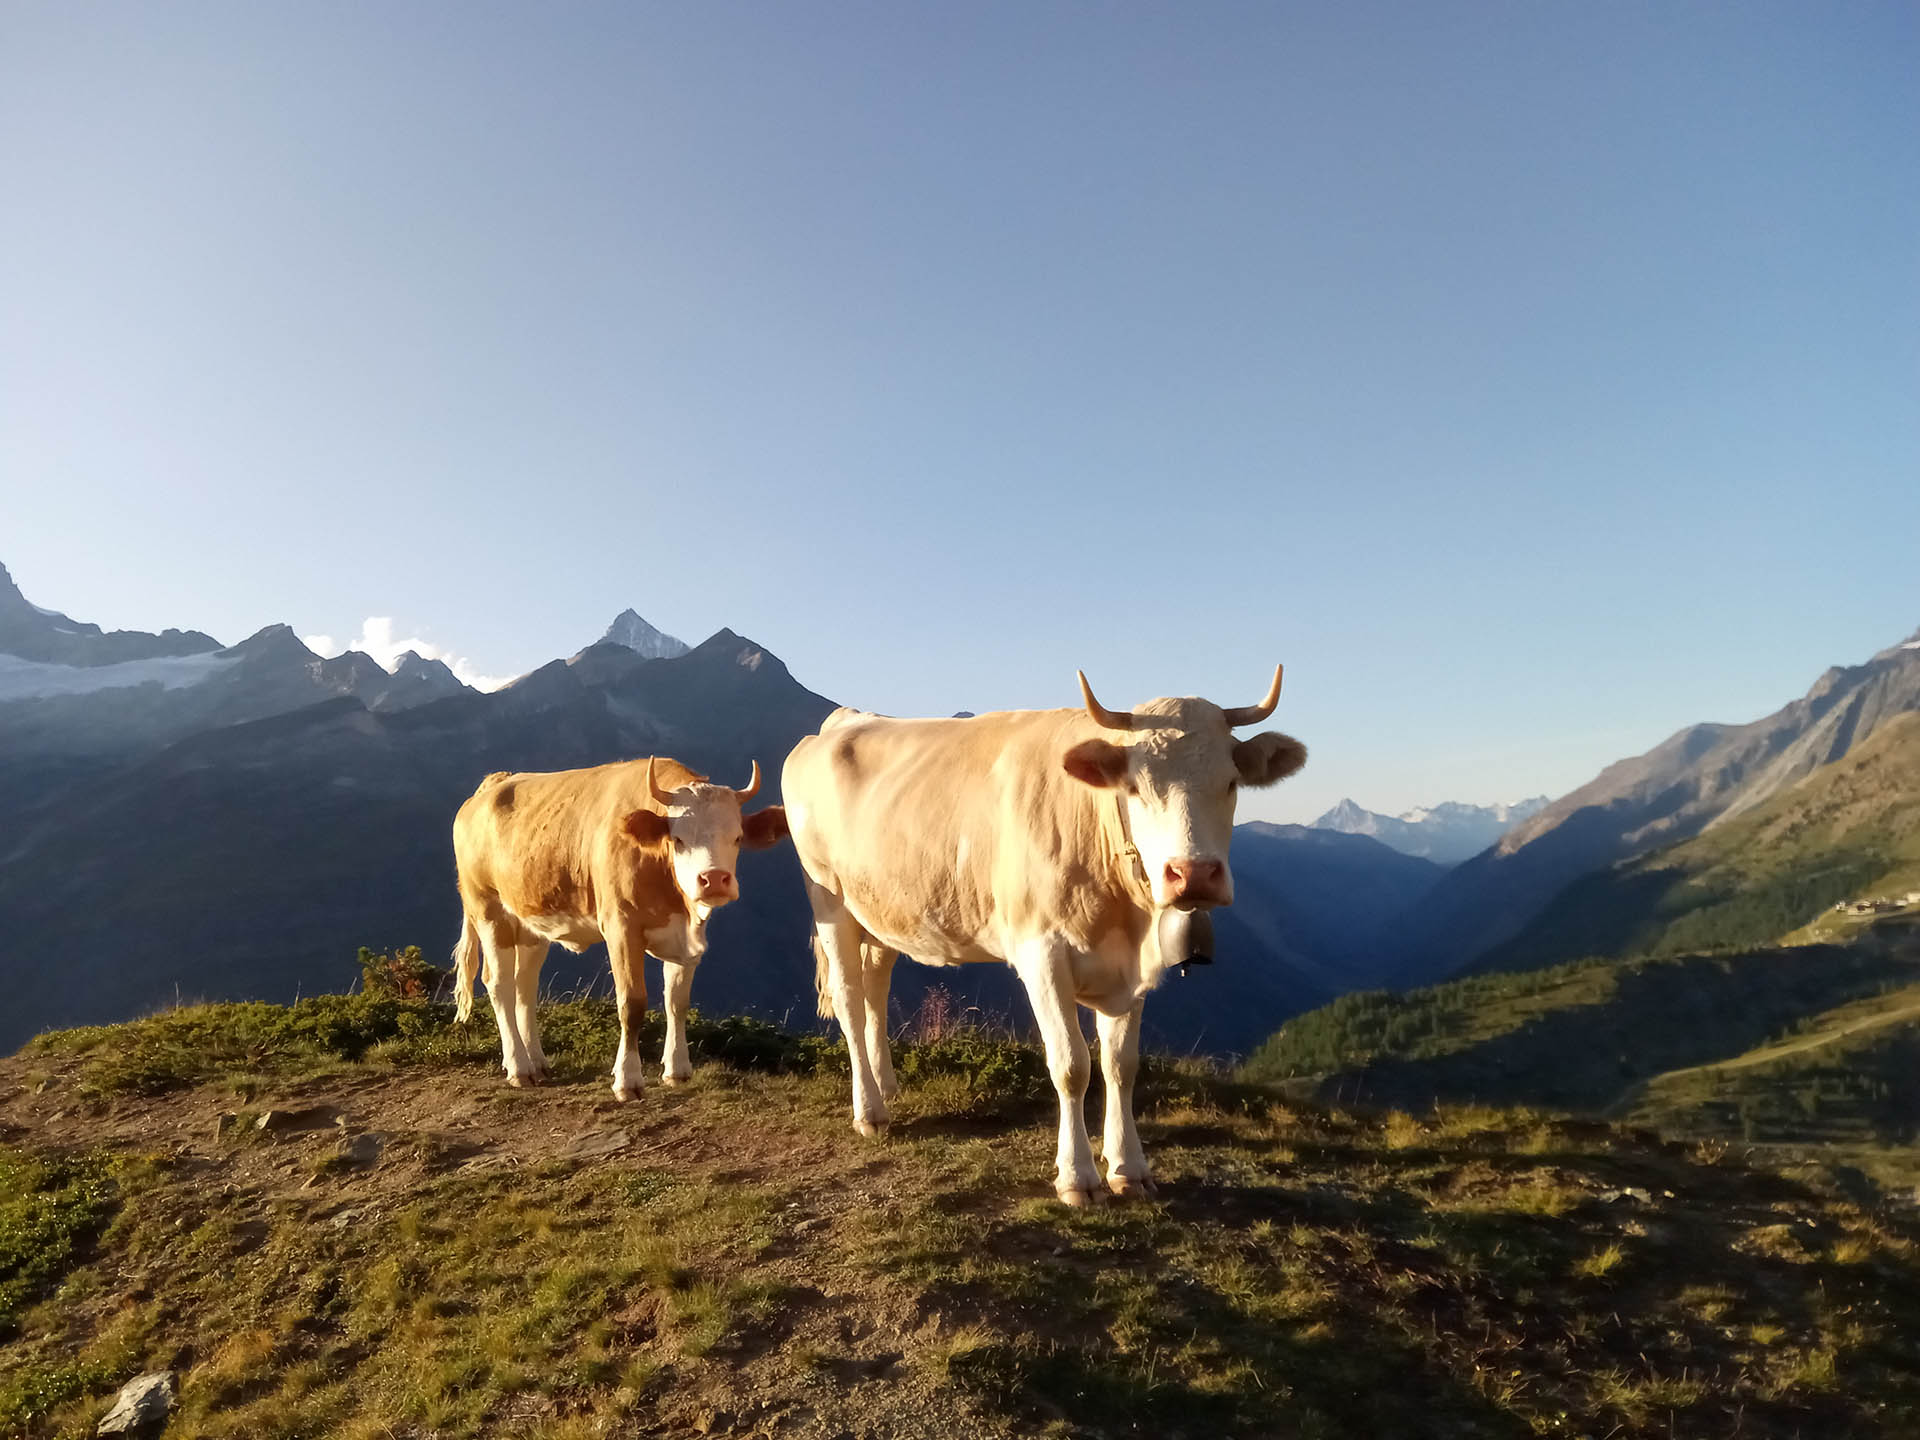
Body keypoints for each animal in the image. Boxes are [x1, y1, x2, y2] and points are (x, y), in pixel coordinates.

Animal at [449, 760, 787, 1098]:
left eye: (737, 837)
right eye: (678, 839)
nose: (714, 879)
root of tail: (493, 785)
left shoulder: (683, 936)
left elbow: (677, 1001)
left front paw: (677, 1069)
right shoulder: (621, 928)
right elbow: (632, 1004)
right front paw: (628, 1080)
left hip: (531, 921)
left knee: (525, 986)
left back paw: (537, 1062)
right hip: (488, 910)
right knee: (499, 984)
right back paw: (519, 1067)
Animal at [779, 675, 1305, 1205]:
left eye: (1231, 783)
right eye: (1135, 787)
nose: (1193, 874)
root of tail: (843, 721)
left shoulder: (1129, 968)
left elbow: (1121, 1064)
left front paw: (1129, 1167)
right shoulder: (1042, 952)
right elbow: (1072, 1064)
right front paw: (1078, 1178)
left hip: (880, 912)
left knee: (875, 991)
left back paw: (885, 1087)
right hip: (828, 899)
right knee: (849, 998)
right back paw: (869, 1112)